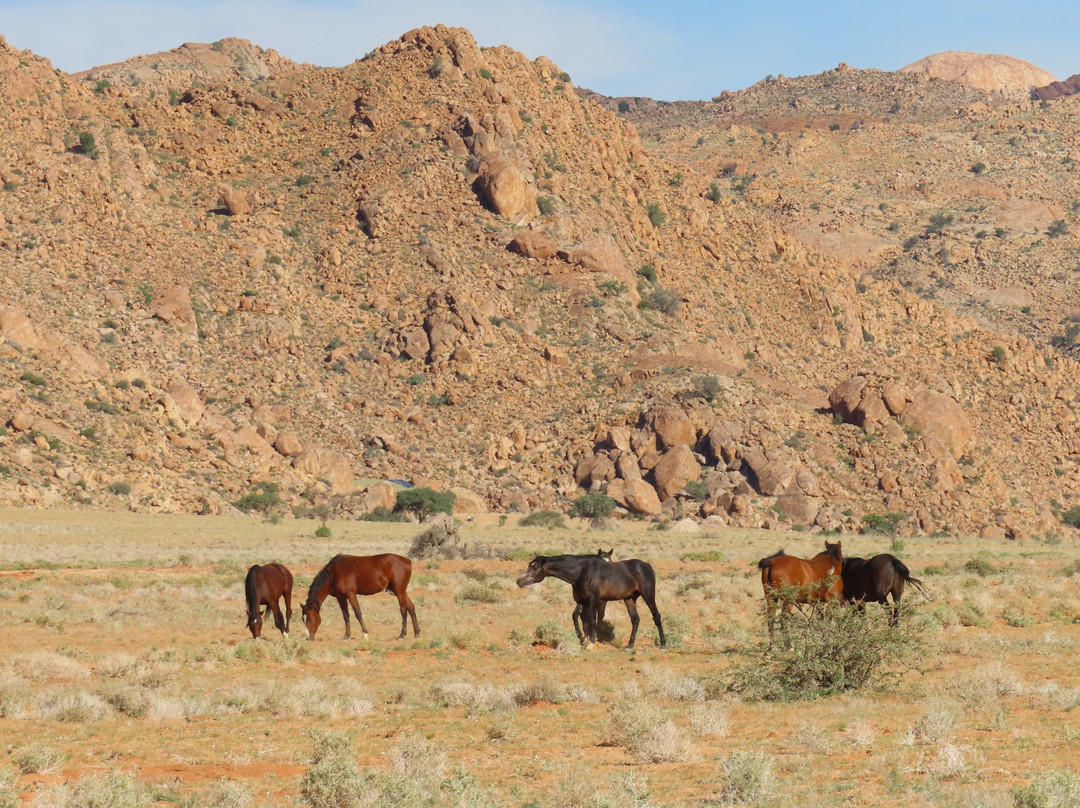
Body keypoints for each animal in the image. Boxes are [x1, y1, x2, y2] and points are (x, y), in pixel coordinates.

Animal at [516, 555, 665, 649]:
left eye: (535, 568)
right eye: (529, 565)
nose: (519, 581)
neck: (581, 572)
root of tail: (647, 566)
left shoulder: (593, 600)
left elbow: (592, 620)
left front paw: (591, 643)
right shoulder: (582, 601)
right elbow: (580, 619)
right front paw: (584, 639)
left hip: (648, 595)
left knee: (656, 616)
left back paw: (663, 644)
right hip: (629, 598)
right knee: (635, 619)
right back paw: (629, 645)